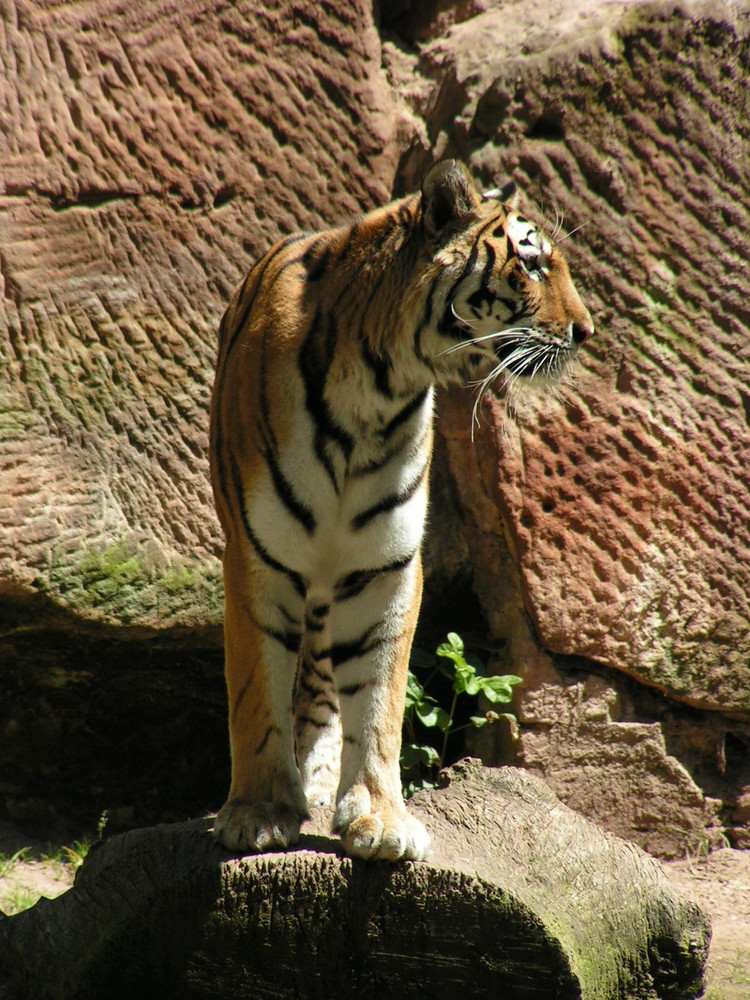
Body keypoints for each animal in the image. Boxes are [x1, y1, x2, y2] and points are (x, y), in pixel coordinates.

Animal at [210, 160, 592, 864]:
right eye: (530, 265)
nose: (586, 332)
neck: (377, 389)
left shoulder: (384, 565)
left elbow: (379, 697)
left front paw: (378, 816)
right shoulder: (257, 558)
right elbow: (257, 690)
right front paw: (259, 812)